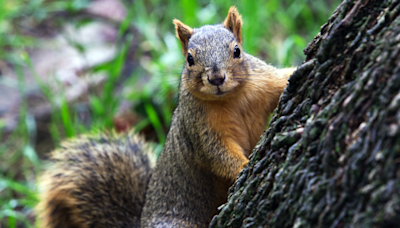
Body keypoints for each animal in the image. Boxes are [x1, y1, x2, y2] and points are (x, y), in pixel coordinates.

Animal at [35, 6, 296, 227]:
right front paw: (244, 166)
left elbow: (283, 80)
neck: (232, 98)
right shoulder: (198, 127)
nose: (216, 78)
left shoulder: (264, 82)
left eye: (237, 51)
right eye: (189, 59)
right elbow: (217, 153)